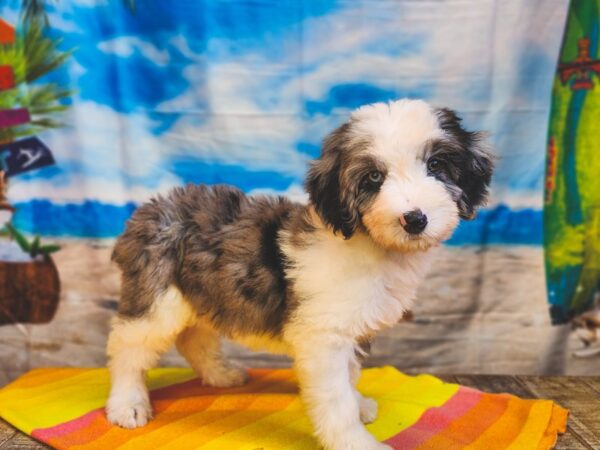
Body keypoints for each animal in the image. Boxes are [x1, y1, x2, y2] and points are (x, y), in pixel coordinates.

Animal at [106, 99, 492, 450]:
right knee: (127, 350)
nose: (414, 219)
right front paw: (355, 441)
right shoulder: (324, 337)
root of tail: (149, 210)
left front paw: (359, 406)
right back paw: (128, 404)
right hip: (157, 298)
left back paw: (221, 374)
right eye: (374, 177)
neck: (371, 245)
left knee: (193, 338)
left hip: (200, 293)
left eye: (436, 165)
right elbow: (336, 399)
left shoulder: (351, 330)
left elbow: (350, 378)